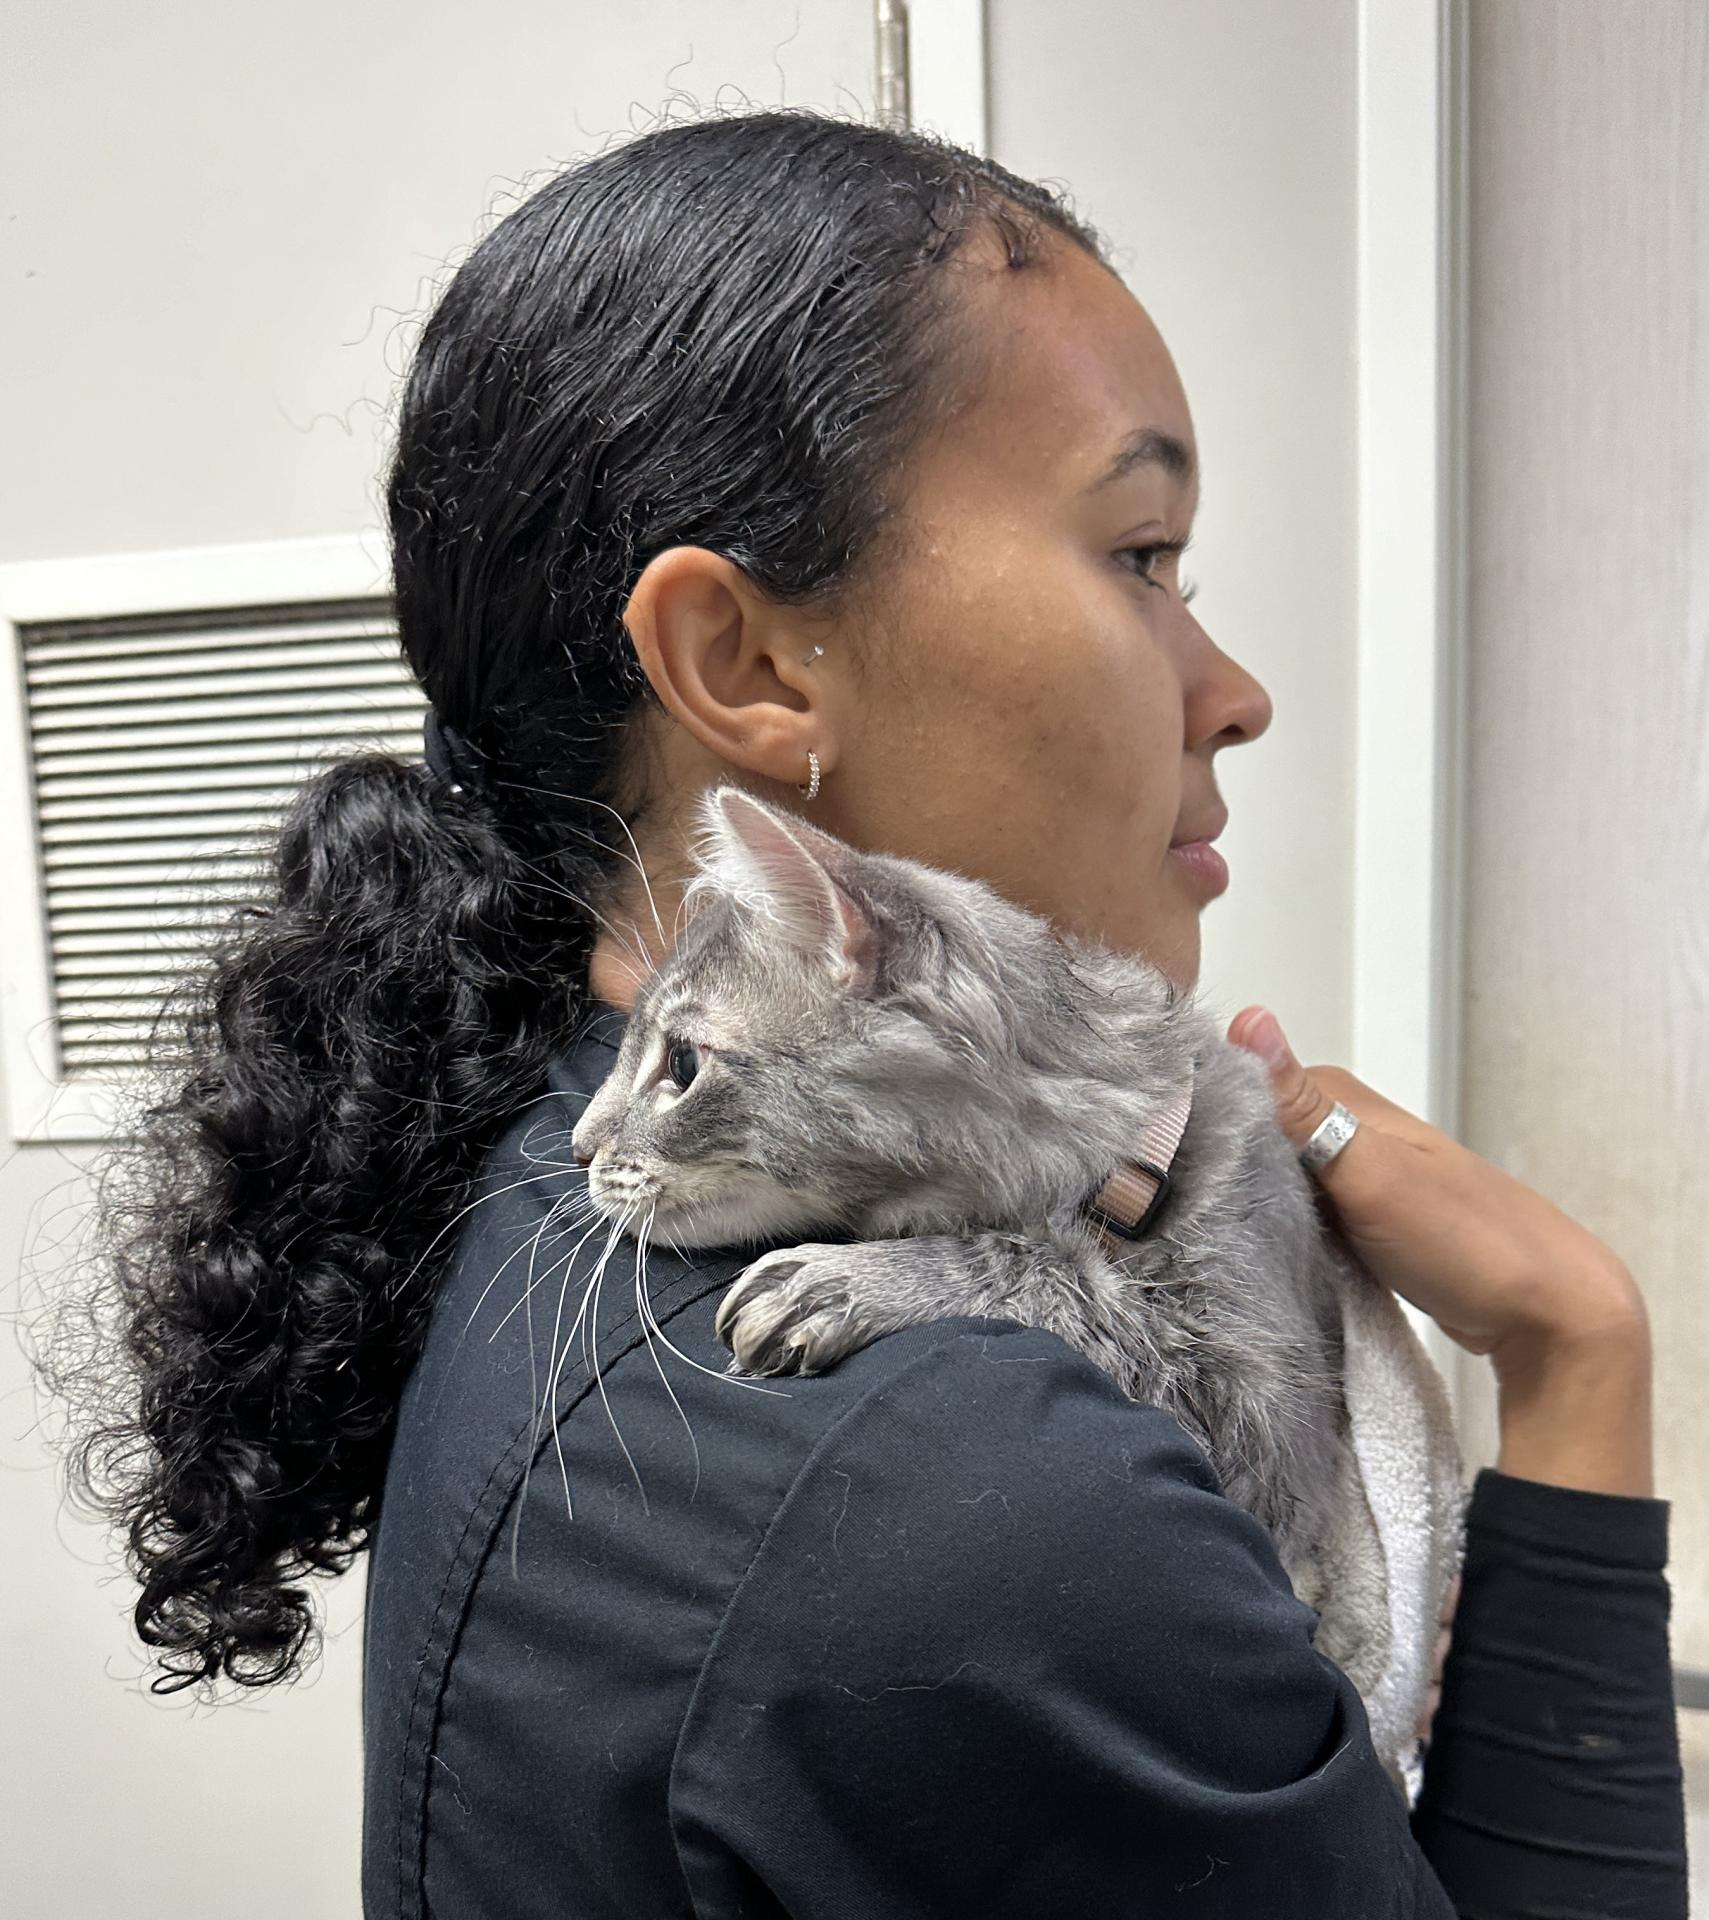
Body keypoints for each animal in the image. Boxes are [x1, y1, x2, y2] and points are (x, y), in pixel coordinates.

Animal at [572, 787, 1382, 1643]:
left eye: (681, 1064)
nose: (578, 1145)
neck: (1140, 1163)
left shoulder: (1264, 1426)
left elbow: (1038, 1262)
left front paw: (844, 1279)